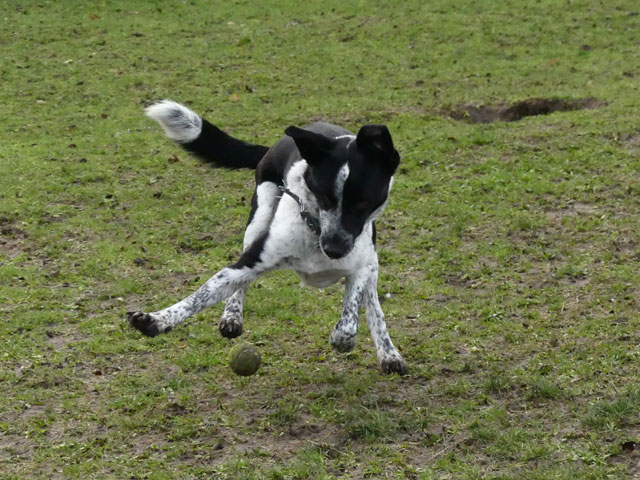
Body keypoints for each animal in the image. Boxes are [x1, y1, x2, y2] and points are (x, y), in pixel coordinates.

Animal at [127, 101, 408, 376]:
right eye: (323, 196)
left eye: (363, 202)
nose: (333, 249)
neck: (315, 230)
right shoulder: (253, 259)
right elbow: (202, 293)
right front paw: (157, 320)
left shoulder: (362, 265)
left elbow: (349, 322)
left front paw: (348, 341)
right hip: (259, 216)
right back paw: (232, 315)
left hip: (372, 261)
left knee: (373, 304)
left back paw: (388, 353)